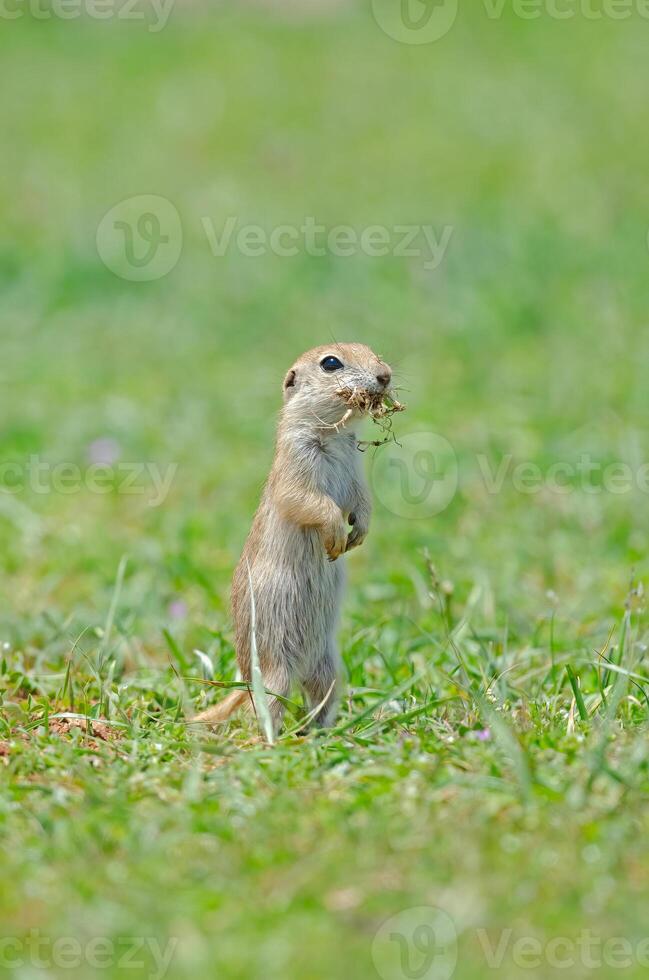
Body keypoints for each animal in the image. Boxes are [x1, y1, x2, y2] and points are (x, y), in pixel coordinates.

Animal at [192, 344, 394, 736]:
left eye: (373, 351)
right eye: (330, 363)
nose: (385, 375)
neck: (334, 435)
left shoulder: (356, 471)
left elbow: (363, 501)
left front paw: (358, 534)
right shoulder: (295, 461)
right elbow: (306, 500)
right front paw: (335, 538)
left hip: (328, 666)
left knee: (319, 696)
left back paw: (320, 731)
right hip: (274, 666)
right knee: (268, 704)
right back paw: (272, 738)